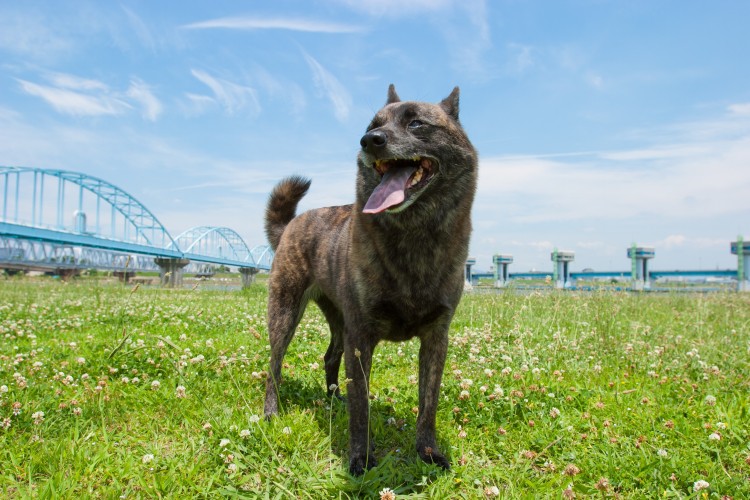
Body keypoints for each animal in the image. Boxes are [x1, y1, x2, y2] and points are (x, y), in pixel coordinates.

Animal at [262, 84, 478, 474]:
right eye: (372, 125)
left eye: (417, 123)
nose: (369, 140)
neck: (413, 235)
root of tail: (291, 224)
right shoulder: (361, 337)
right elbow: (361, 407)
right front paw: (361, 458)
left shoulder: (436, 338)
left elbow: (428, 404)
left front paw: (428, 452)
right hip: (285, 312)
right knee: (274, 366)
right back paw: (272, 411)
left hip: (337, 318)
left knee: (330, 356)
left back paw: (334, 400)